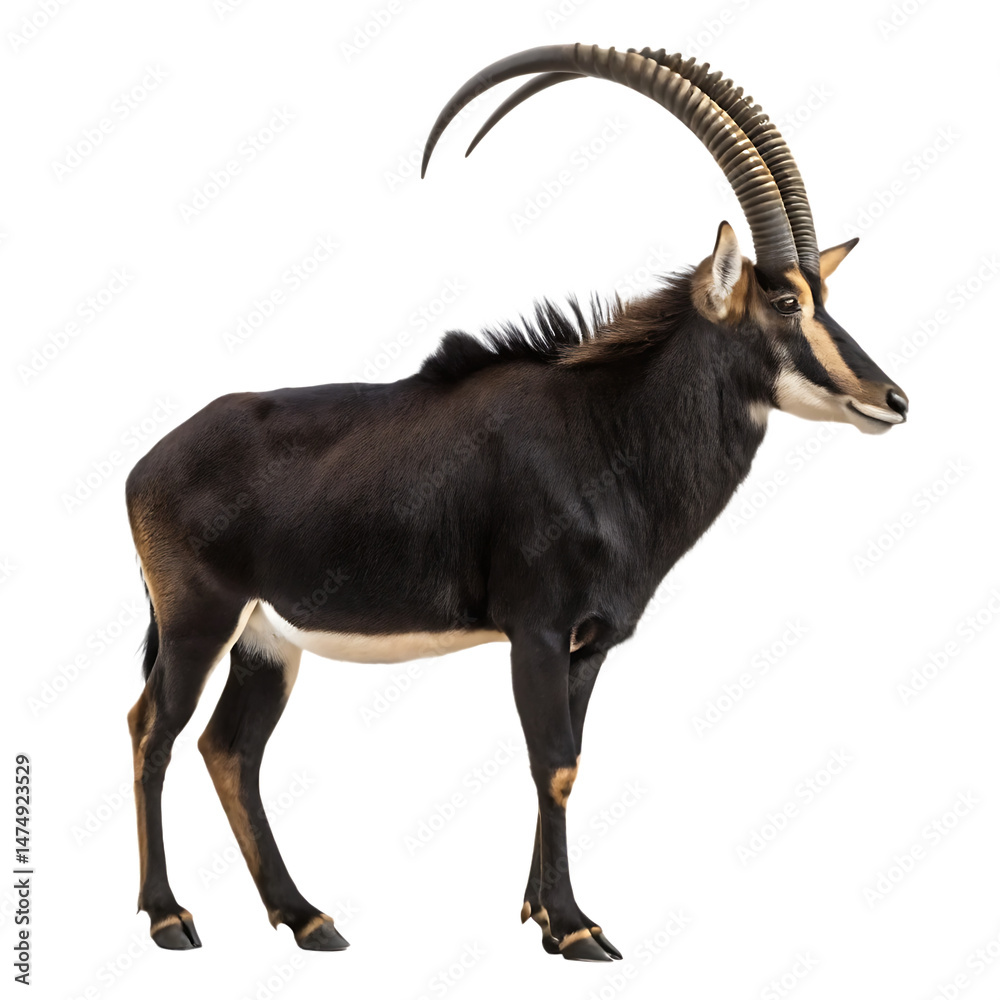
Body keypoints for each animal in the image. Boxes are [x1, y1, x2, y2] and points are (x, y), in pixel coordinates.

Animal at [125, 43, 908, 961]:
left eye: (824, 299)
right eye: (785, 302)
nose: (892, 400)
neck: (605, 429)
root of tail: (146, 464)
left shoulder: (588, 645)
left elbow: (568, 757)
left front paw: (541, 914)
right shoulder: (534, 629)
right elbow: (553, 763)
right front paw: (574, 927)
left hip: (266, 642)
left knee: (229, 749)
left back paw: (308, 918)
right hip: (199, 623)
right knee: (154, 730)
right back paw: (170, 917)